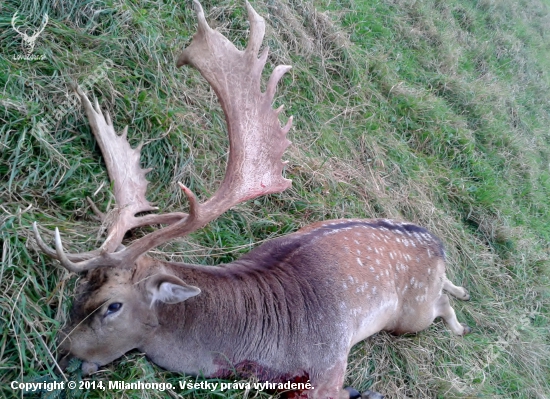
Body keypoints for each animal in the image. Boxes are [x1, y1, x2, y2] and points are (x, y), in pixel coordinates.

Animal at [33, 1, 474, 398]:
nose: (62, 352)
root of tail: (437, 243)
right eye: (79, 290)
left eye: (112, 307)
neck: (261, 345)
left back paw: (461, 322)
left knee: (440, 306)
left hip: (412, 313)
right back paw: (463, 293)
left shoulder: (330, 362)